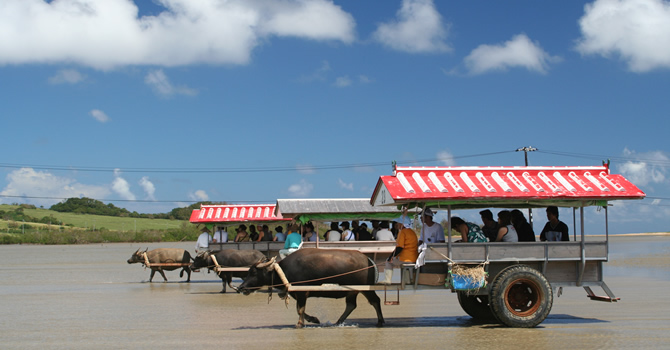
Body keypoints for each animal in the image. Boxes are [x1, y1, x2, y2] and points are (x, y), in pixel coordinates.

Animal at [239, 247, 386, 326]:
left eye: (253, 273)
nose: (241, 288)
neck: (284, 270)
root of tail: (368, 260)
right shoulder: (298, 294)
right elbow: (299, 310)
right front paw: (313, 319)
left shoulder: (302, 293)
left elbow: (299, 310)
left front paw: (300, 323)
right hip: (352, 292)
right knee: (351, 305)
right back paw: (338, 322)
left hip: (366, 289)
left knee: (375, 301)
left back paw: (380, 321)